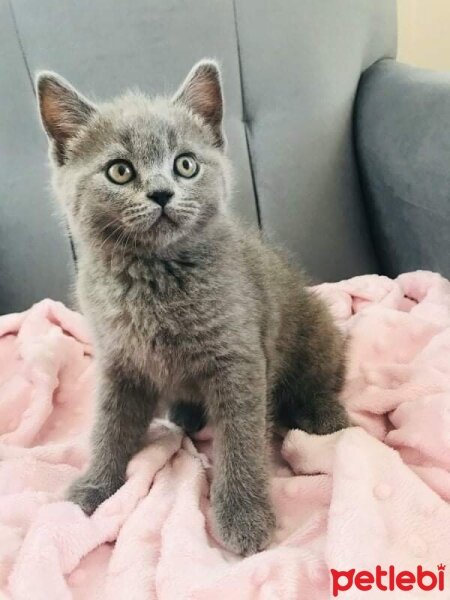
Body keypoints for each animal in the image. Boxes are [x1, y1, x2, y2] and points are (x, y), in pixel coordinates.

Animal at [37, 58, 350, 556]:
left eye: (185, 164)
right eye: (120, 171)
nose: (162, 193)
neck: (153, 276)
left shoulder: (238, 357)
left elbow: (241, 439)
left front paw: (244, 516)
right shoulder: (117, 359)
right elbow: (109, 425)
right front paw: (95, 487)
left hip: (315, 326)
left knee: (323, 375)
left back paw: (324, 416)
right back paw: (185, 414)